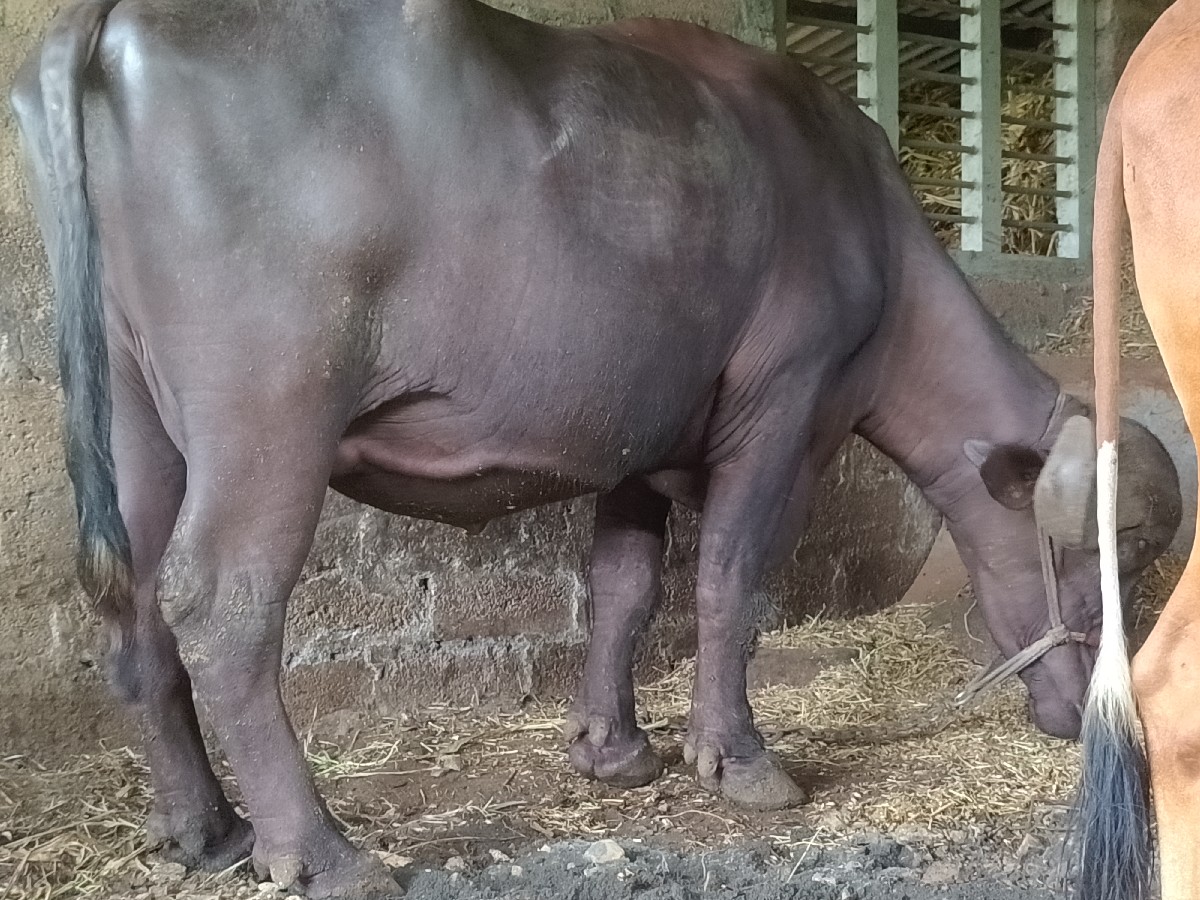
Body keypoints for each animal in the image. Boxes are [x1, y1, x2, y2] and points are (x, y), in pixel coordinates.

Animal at [10, 0, 1181, 896]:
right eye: (1106, 557)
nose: (1087, 713)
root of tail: (113, 22)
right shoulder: (786, 405)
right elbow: (729, 579)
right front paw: (742, 762)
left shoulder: (639, 433)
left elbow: (623, 587)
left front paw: (614, 752)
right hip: (269, 407)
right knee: (224, 602)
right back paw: (320, 850)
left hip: (134, 417)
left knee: (133, 598)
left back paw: (206, 830)